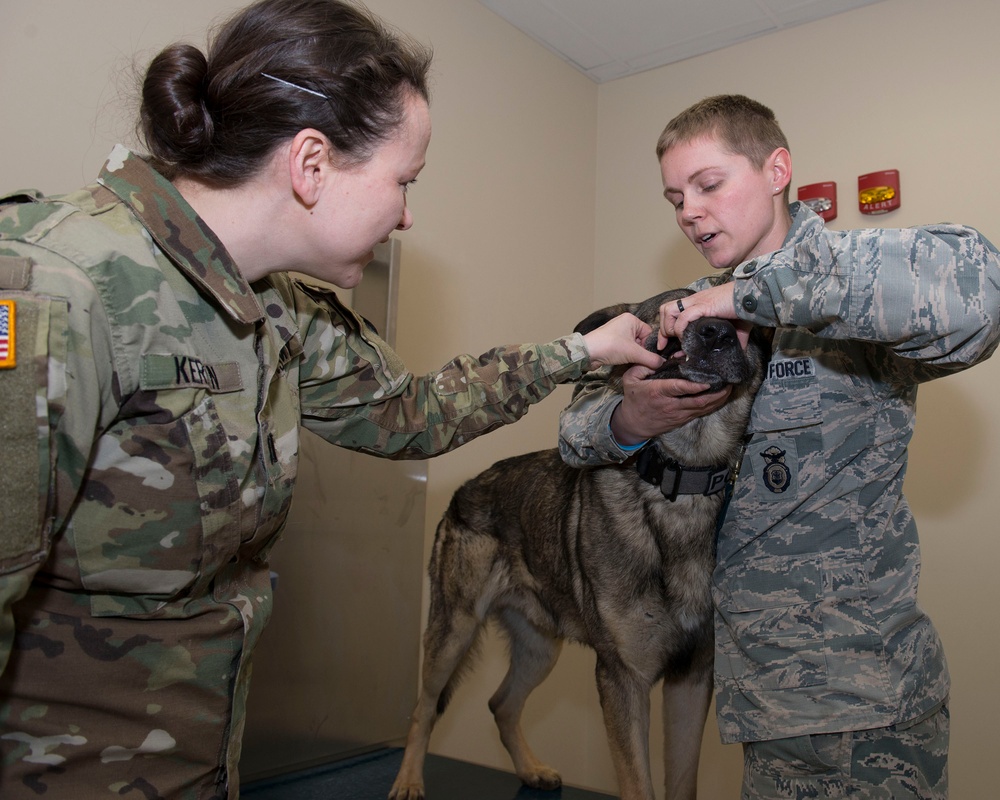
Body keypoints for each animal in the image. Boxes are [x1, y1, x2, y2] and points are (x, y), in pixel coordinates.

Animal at [388, 290, 764, 800]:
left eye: (739, 320)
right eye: (676, 309)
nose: (717, 333)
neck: (680, 478)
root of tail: (466, 487)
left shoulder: (690, 679)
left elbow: (682, 783)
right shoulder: (622, 680)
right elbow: (638, 786)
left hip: (540, 648)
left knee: (500, 704)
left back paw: (531, 770)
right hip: (452, 634)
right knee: (423, 708)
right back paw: (408, 780)